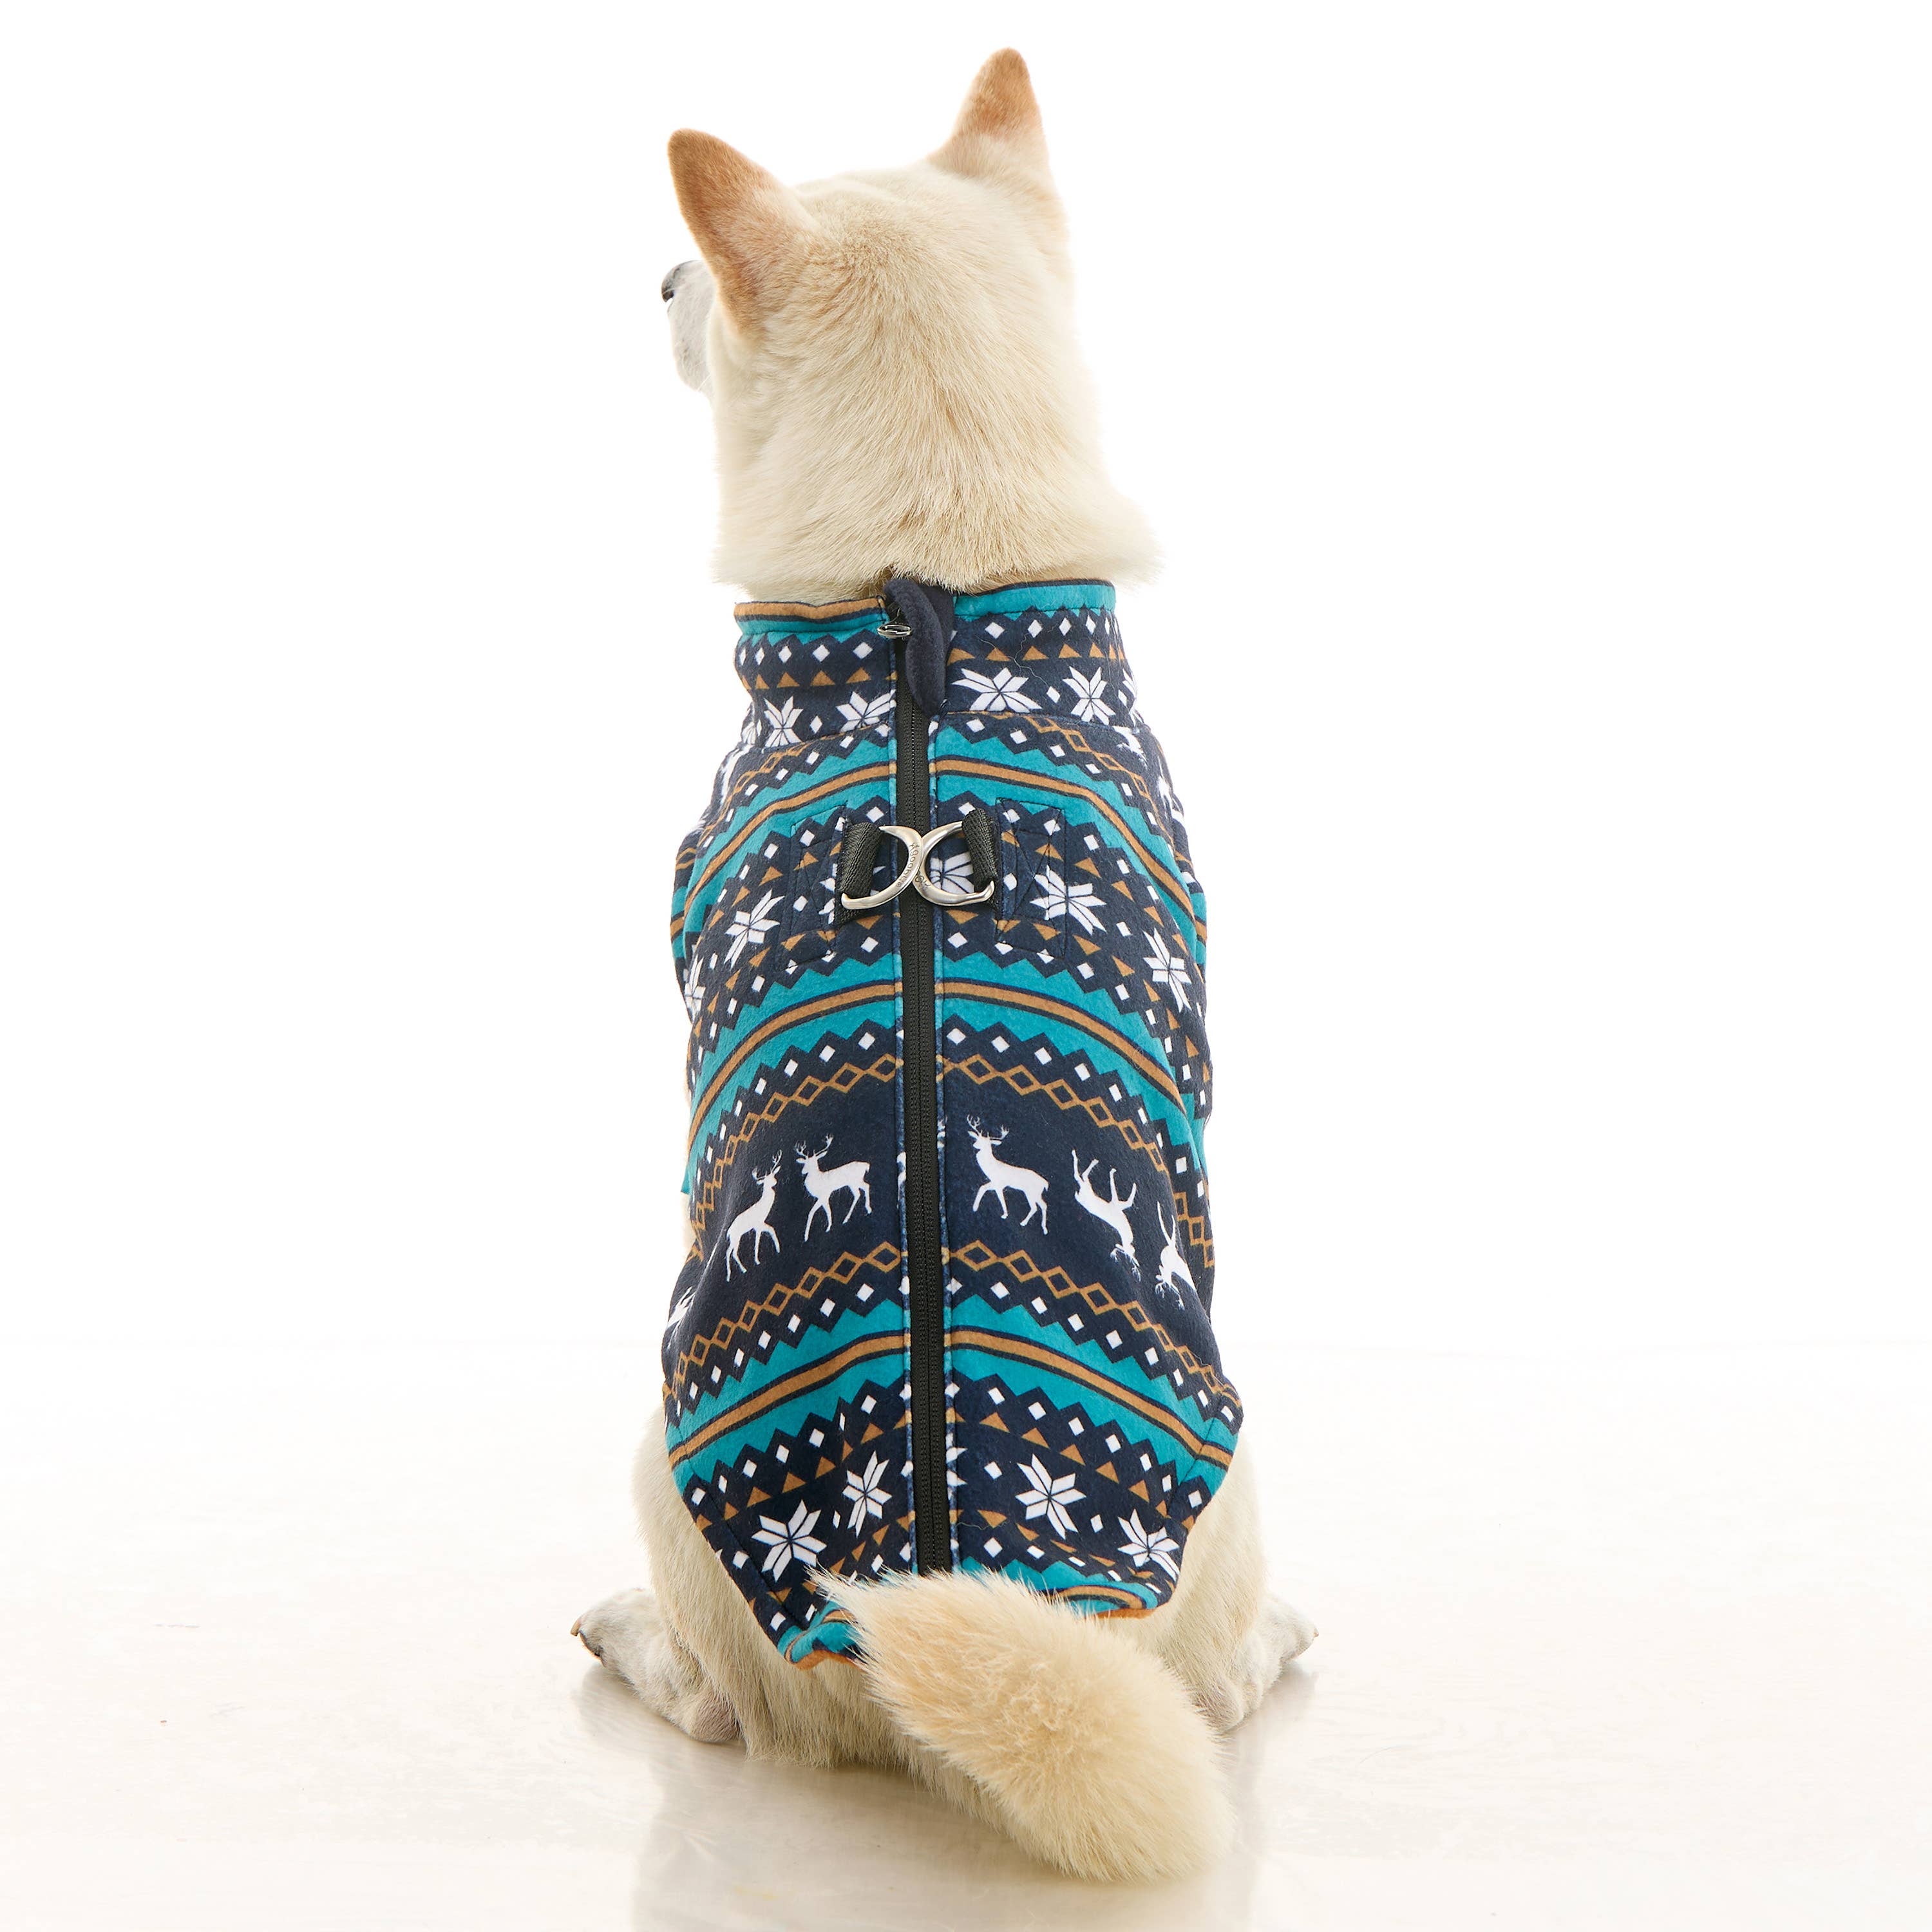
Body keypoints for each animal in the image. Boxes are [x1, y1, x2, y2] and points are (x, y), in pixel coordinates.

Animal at [721, 1157, 783, 1277]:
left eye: (773, 1176)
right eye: (765, 1181)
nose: (776, 1182)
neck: (763, 1207)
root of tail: (729, 1232)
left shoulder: (758, 1226)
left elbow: (764, 1235)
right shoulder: (758, 1225)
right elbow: (761, 1239)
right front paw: (758, 1260)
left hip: (735, 1239)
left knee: (728, 1252)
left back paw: (730, 1273)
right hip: (736, 1237)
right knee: (733, 1253)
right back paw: (743, 1269)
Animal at [797, 1136, 872, 1236]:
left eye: (814, 1162)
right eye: (805, 1163)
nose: (803, 1172)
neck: (817, 1179)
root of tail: (866, 1165)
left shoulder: (824, 1195)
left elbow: (812, 1212)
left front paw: (806, 1236)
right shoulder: (825, 1197)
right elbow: (828, 1211)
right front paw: (829, 1228)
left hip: (855, 1181)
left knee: (862, 1190)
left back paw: (849, 1218)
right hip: (855, 1182)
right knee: (863, 1189)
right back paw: (863, 1211)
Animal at [966, 1118, 1049, 1229]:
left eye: (988, 1143)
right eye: (977, 1139)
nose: (974, 1145)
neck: (992, 1167)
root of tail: (1045, 1183)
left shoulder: (999, 1184)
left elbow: (1001, 1199)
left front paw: (1005, 1215)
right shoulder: (995, 1182)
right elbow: (982, 1188)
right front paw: (975, 1208)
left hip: (1031, 1193)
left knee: (1035, 1207)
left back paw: (1023, 1223)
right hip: (1037, 1194)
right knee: (1044, 1205)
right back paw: (1044, 1228)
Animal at [1071, 1153, 1139, 1273]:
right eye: (1132, 1252)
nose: (1134, 1262)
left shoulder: (1118, 1204)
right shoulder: (1117, 1203)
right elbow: (1119, 1192)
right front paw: (1114, 1173)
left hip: (1086, 1188)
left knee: (1080, 1176)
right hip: (1087, 1188)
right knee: (1081, 1176)